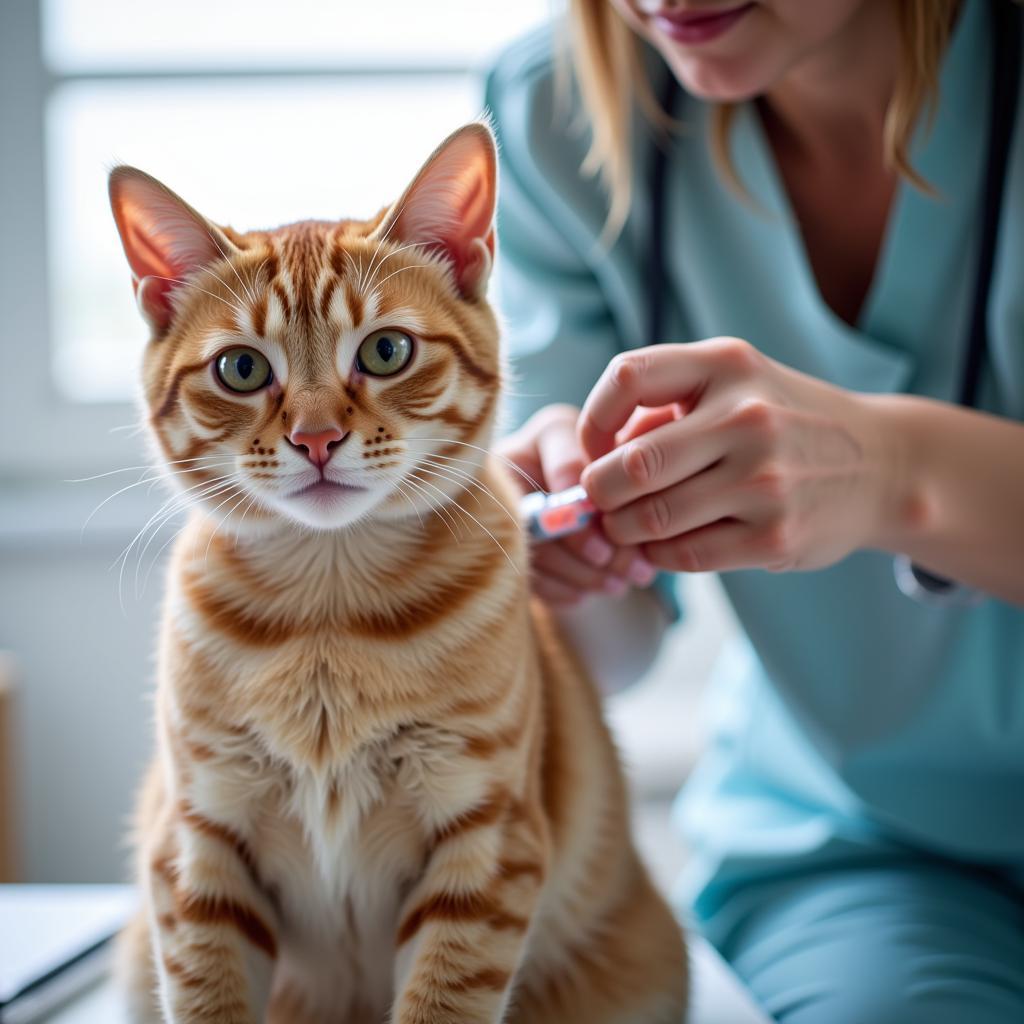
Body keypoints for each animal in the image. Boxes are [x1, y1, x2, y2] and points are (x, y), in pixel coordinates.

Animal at [110, 121, 688, 1024]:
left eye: (386, 351)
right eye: (242, 369)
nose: (315, 438)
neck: (329, 618)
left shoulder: (486, 840)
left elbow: (442, 998)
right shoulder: (199, 842)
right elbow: (209, 994)